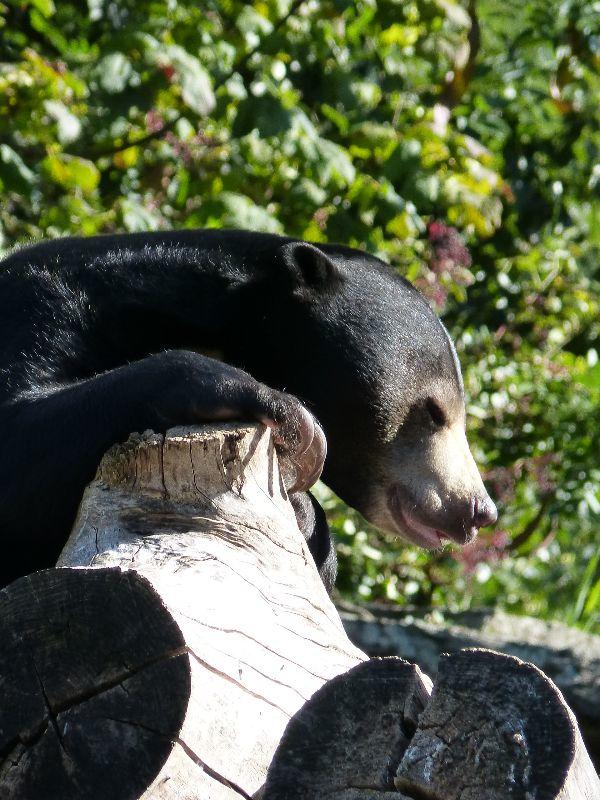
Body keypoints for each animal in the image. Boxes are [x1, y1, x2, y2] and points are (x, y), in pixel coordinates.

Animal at [0, 228, 496, 592]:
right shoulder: (41, 306)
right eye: (433, 412)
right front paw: (285, 413)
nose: (476, 510)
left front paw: (306, 516)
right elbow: (19, 436)